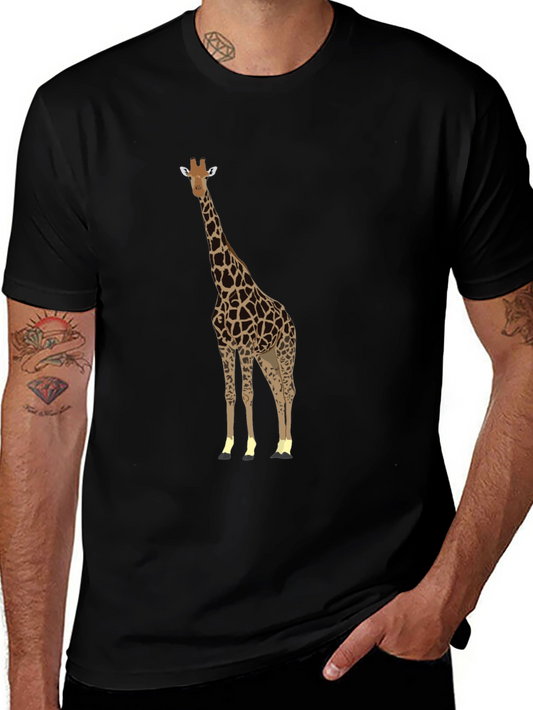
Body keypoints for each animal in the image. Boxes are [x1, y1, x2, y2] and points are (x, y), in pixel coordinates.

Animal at [181, 158, 296, 460]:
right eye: (190, 176)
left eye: (207, 176)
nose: (197, 190)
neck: (224, 287)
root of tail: (290, 319)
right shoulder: (224, 344)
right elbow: (230, 393)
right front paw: (227, 447)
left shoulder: (243, 344)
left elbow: (247, 393)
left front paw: (250, 449)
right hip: (266, 356)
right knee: (278, 391)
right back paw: (279, 447)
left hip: (284, 350)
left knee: (289, 390)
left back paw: (288, 447)